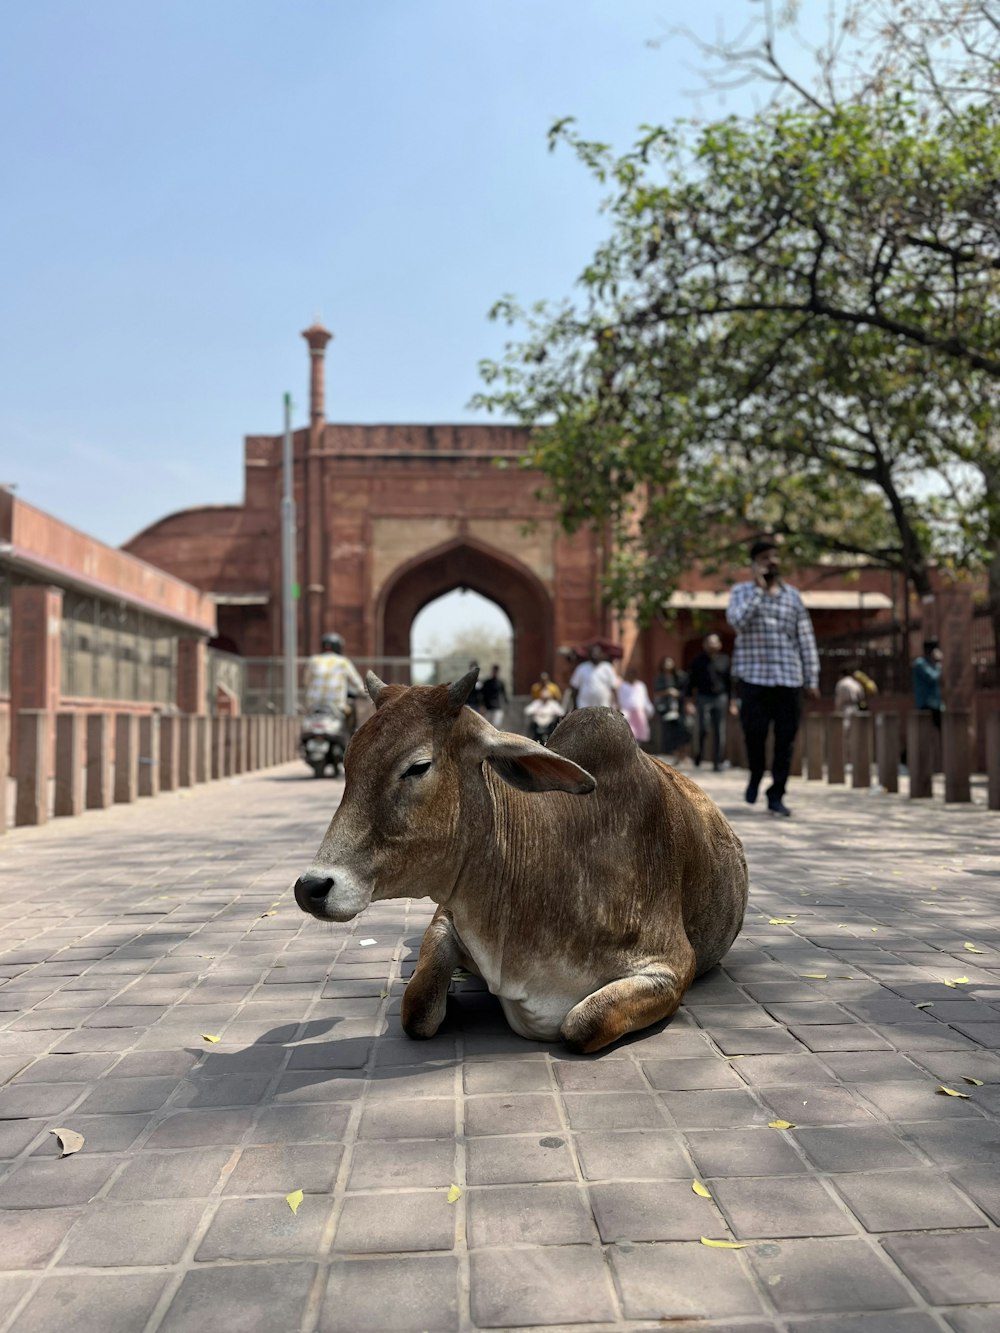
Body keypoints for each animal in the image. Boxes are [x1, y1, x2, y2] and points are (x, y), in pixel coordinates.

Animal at [293, 671, 746, 1055]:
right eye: (349, 762)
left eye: (418, 766)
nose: (311, 887)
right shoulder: (446, 917)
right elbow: (417, 1008)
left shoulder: (672, 966)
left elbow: (583, 1024)